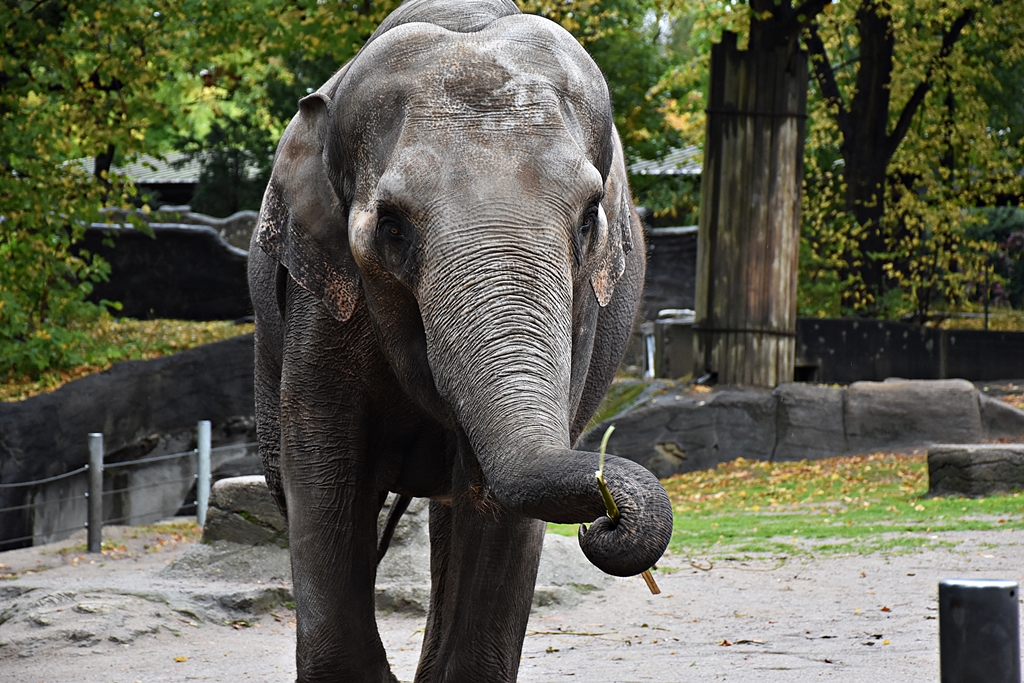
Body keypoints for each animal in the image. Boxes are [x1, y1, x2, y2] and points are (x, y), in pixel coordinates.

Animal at [248, 1, 673, 681]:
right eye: (391, 226)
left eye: (589, 220)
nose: (605, 514)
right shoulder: (323, 298)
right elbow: (321, 464)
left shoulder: (583, 309)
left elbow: (494, 501)